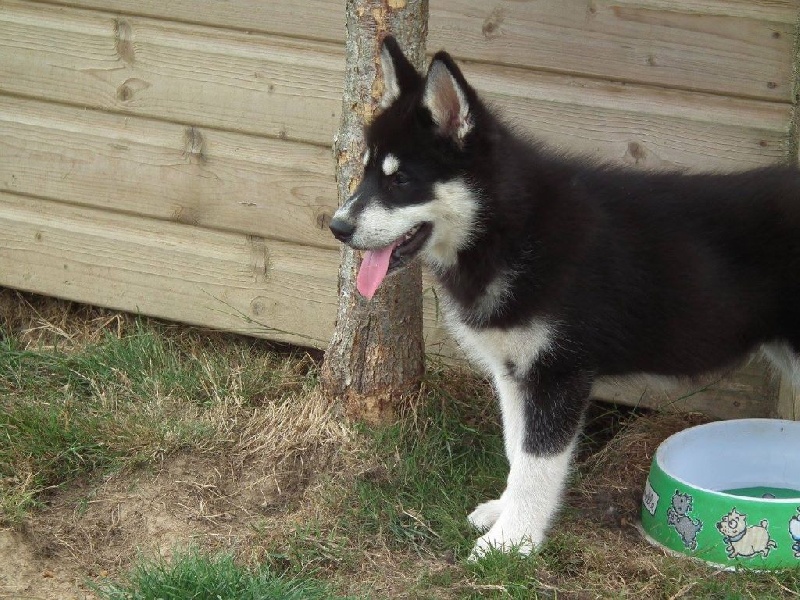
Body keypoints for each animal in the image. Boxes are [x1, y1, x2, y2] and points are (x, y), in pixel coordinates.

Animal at [328, 36, 800, 558]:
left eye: (400, 180)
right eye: (367, 172)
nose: (337, 227)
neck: (510, 230)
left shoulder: (558, 374)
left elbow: (538, 463)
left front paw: (510, 542)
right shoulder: (514, 373)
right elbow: (517, 450)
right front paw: (504, 513)